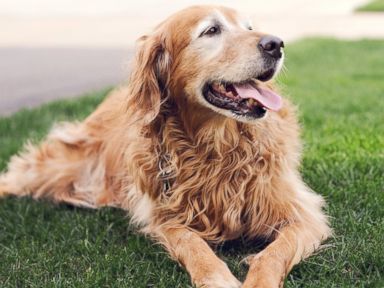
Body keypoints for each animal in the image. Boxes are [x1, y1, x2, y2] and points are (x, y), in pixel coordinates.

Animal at [0, 5, 330, 288]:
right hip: (59, 165)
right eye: (211, 30)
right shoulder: (165, 216)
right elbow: (193, 245)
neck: (216, 148)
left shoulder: (303, 213)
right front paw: (217, 278)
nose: (276, 43)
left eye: (249, 27)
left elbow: (272, 254)